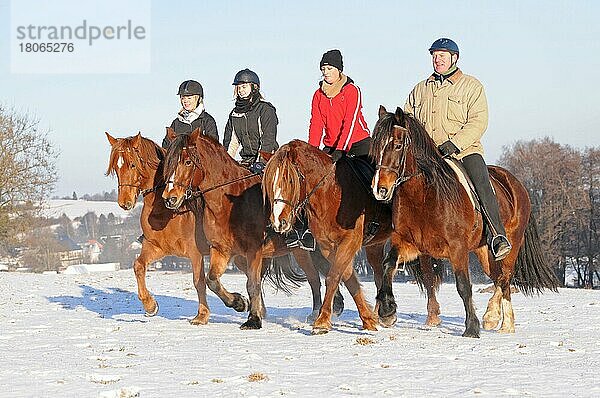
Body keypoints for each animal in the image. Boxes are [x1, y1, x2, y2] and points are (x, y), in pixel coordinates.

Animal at [162, 128, 330, 330]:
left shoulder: (253, 251)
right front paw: (239, 302)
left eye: (187, 161)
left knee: (317, 277)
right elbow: (212, 280)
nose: (169, 198)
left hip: (306, 250)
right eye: (169, 162)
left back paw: (319, 312)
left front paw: (253, 319)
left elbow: (252, 284)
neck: (229, 202)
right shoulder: (221, 250)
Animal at [262, 138, 398, 334]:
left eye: (290, 180)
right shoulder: (327, 246)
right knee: (379, 273)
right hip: (375, 245)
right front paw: (368, 318)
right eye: (270, 181)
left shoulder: (349, 241)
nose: (279, 221)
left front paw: (322, 320)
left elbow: (333, 276)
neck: (330, 193)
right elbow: (347, 277)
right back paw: (384, 312)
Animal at [370, 107, 556, 338]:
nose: (380, 189)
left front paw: (472, 328)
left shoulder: (457, 248)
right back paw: (502, 321)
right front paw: (387, 311)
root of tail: (516, 183)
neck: (424, 196)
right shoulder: (410, 244)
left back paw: (496, 318)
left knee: (505, 276)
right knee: (498, 278)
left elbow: (463, 285)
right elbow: (388, 265)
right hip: (484, 252)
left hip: (510, 245)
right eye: (375, 147)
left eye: (397, 145)